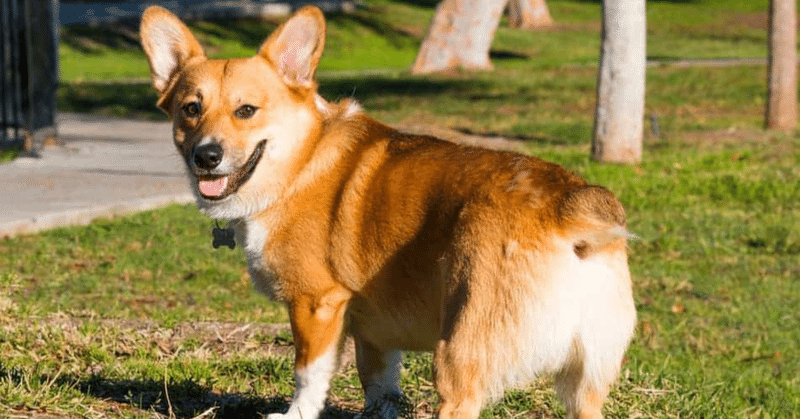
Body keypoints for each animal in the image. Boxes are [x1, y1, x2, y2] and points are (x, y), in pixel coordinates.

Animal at [139, 7, 636, 419]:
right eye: (191, 109)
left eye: (246, 110)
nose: (206, 156)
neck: (299, 162)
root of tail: (567, 206)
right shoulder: (373, 334)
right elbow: (379, 387)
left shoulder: (317, 305)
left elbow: (308, 375)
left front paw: (294, 413)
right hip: (586, 381)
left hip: (457, 354)